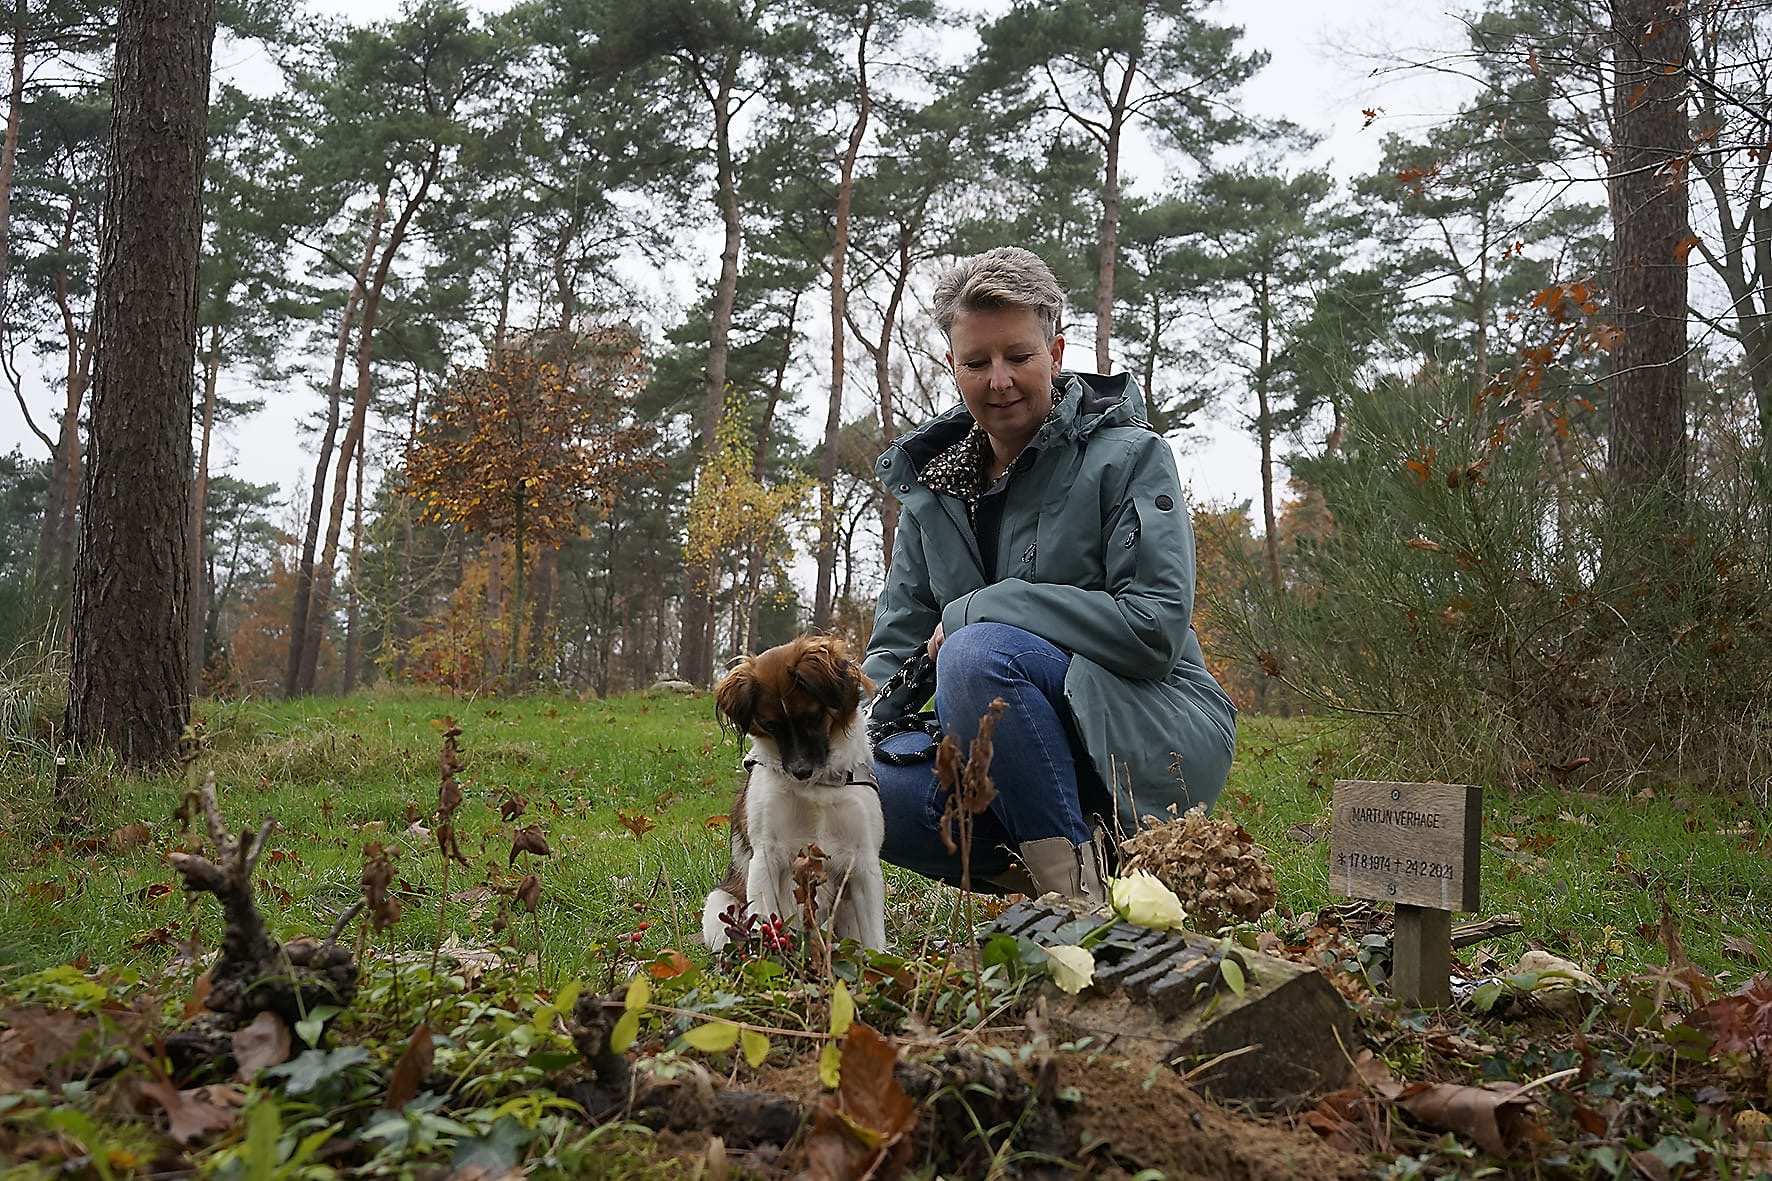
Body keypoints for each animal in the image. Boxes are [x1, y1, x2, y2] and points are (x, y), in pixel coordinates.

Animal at [694, 634, 882, 950]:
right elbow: (765, 920)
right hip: (720, 904)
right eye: (770, 725)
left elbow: (874, 941)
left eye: (813, 716)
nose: (800, 770)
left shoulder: (863, 860)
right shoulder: (766, 856)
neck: (816, 787)